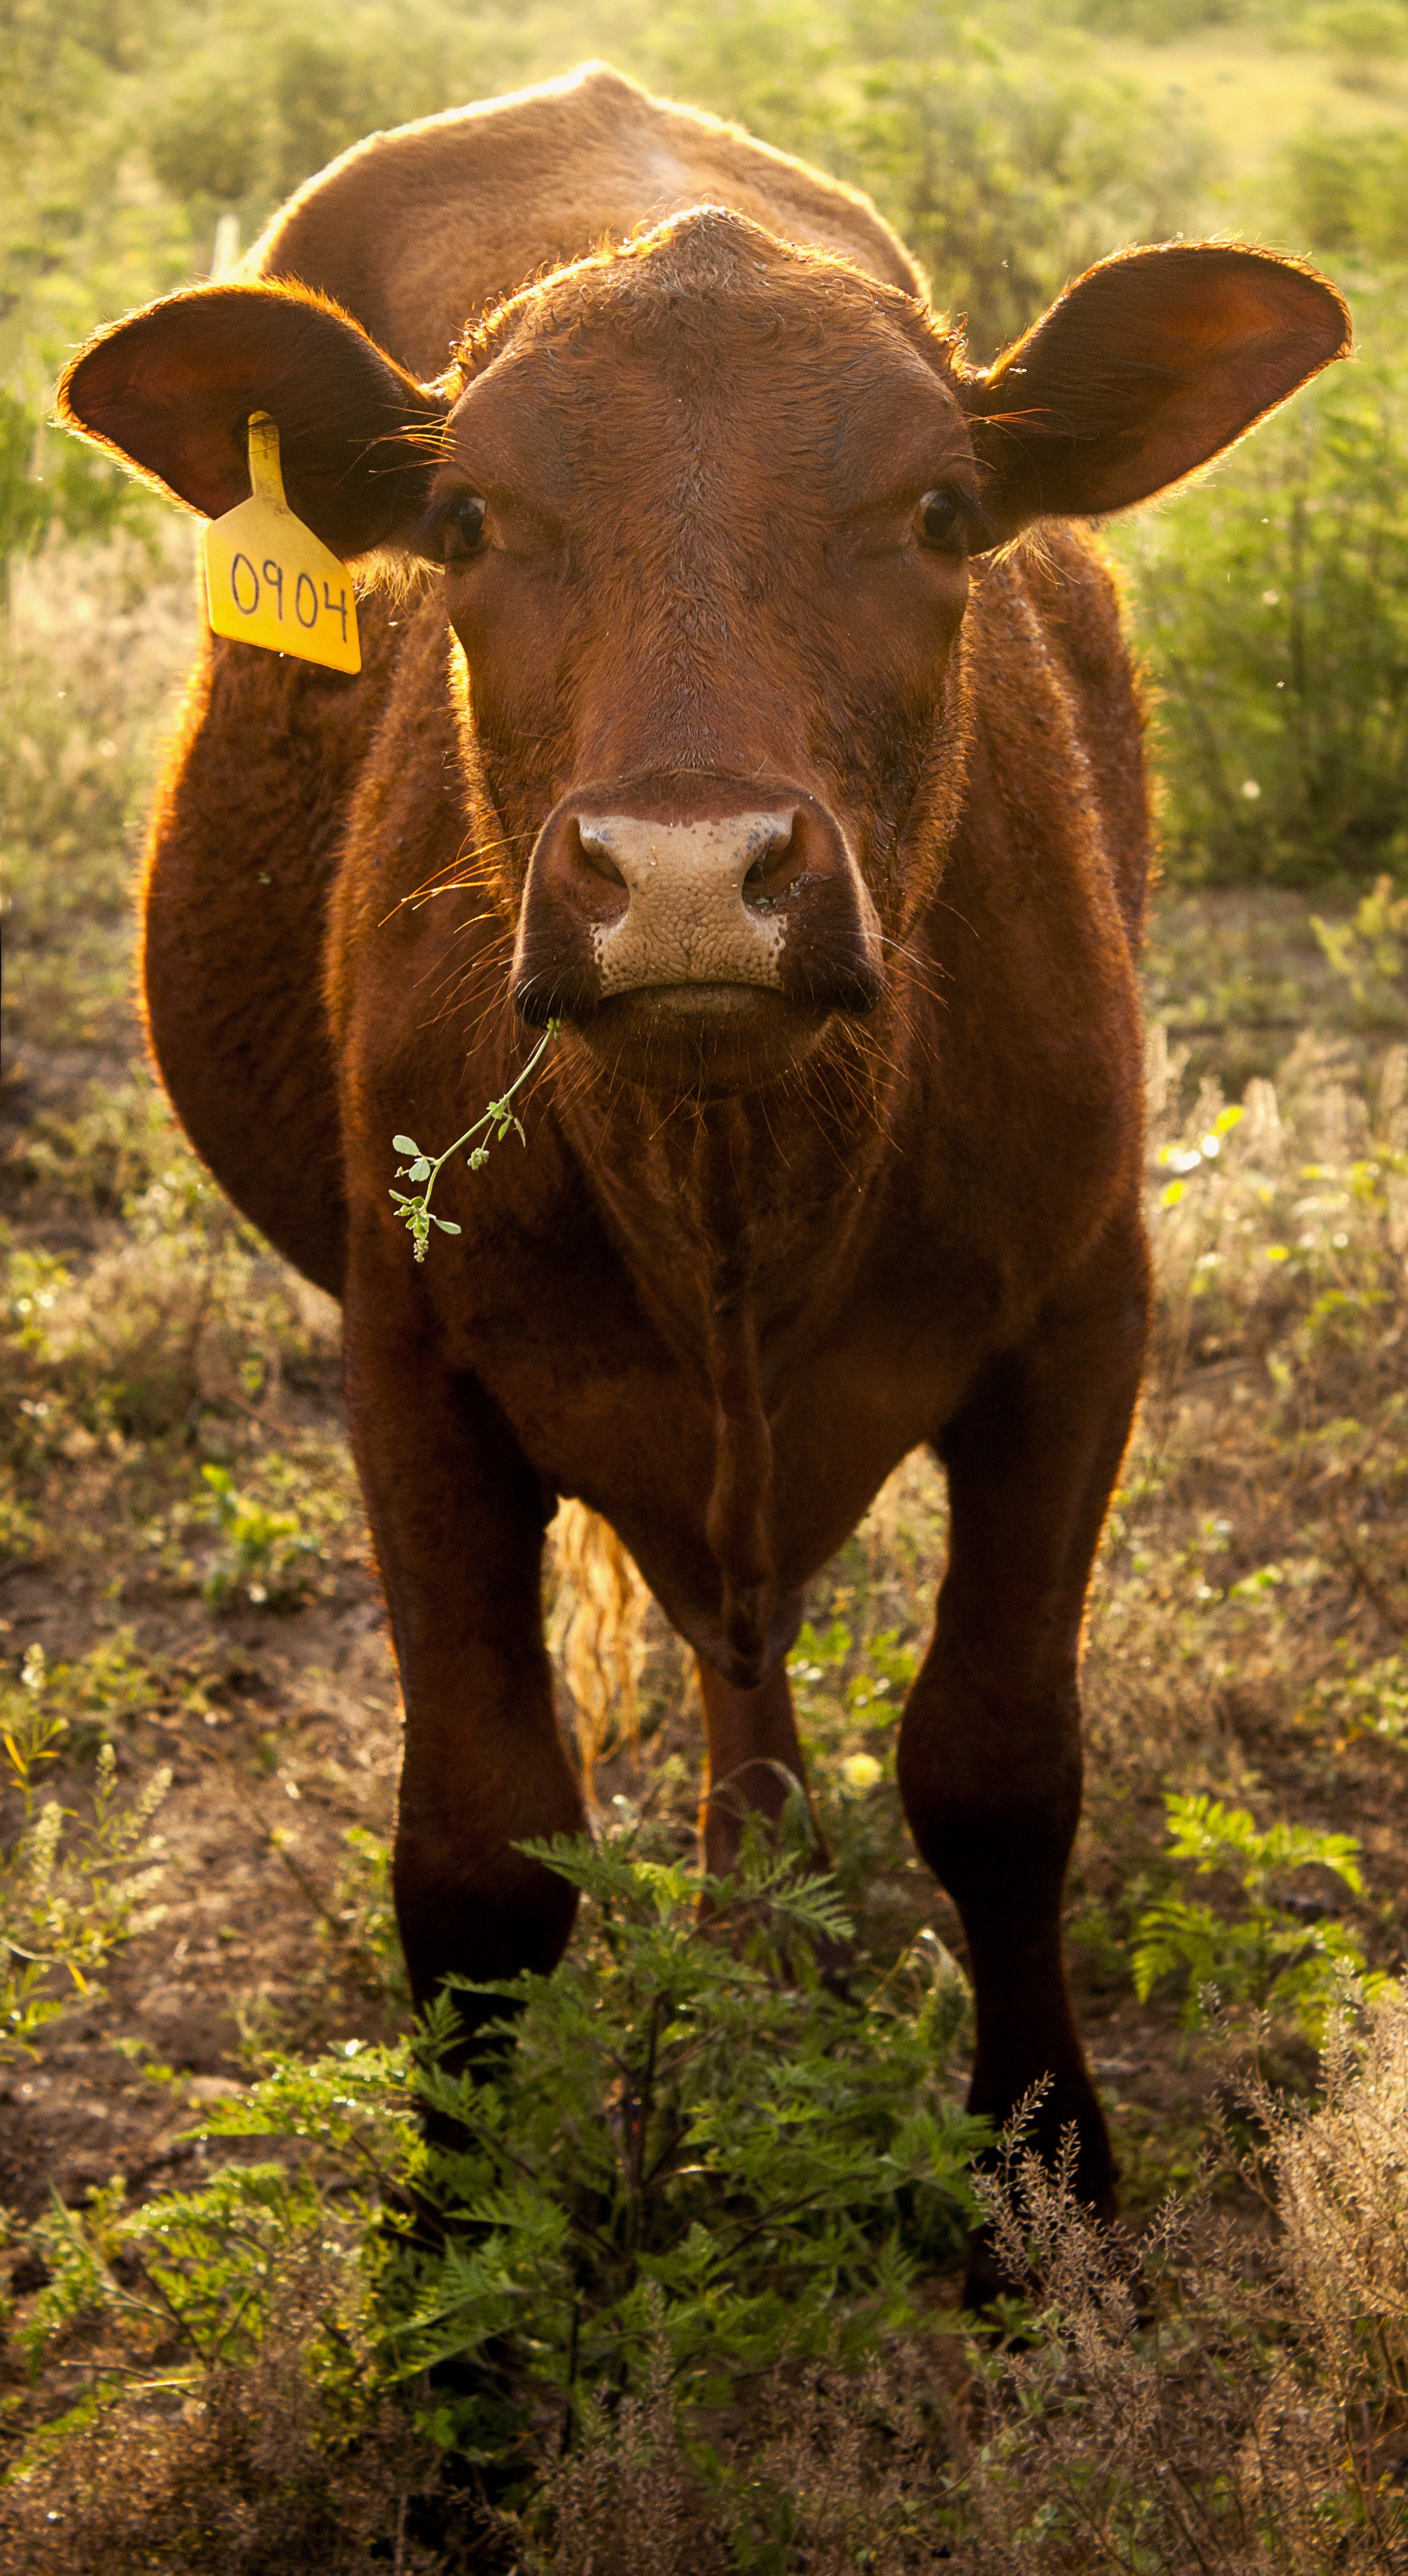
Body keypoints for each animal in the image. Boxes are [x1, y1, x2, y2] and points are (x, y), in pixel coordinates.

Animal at [58, 55, 1359, 2277]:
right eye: (466, 522)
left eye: (936, 512)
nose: (680, 875)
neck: (742, 1185)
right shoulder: (409, 1361)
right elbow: (478, 1848)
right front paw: (460, 2281)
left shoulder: (1080, 1310)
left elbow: (997, 1765)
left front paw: (1041, 2173)